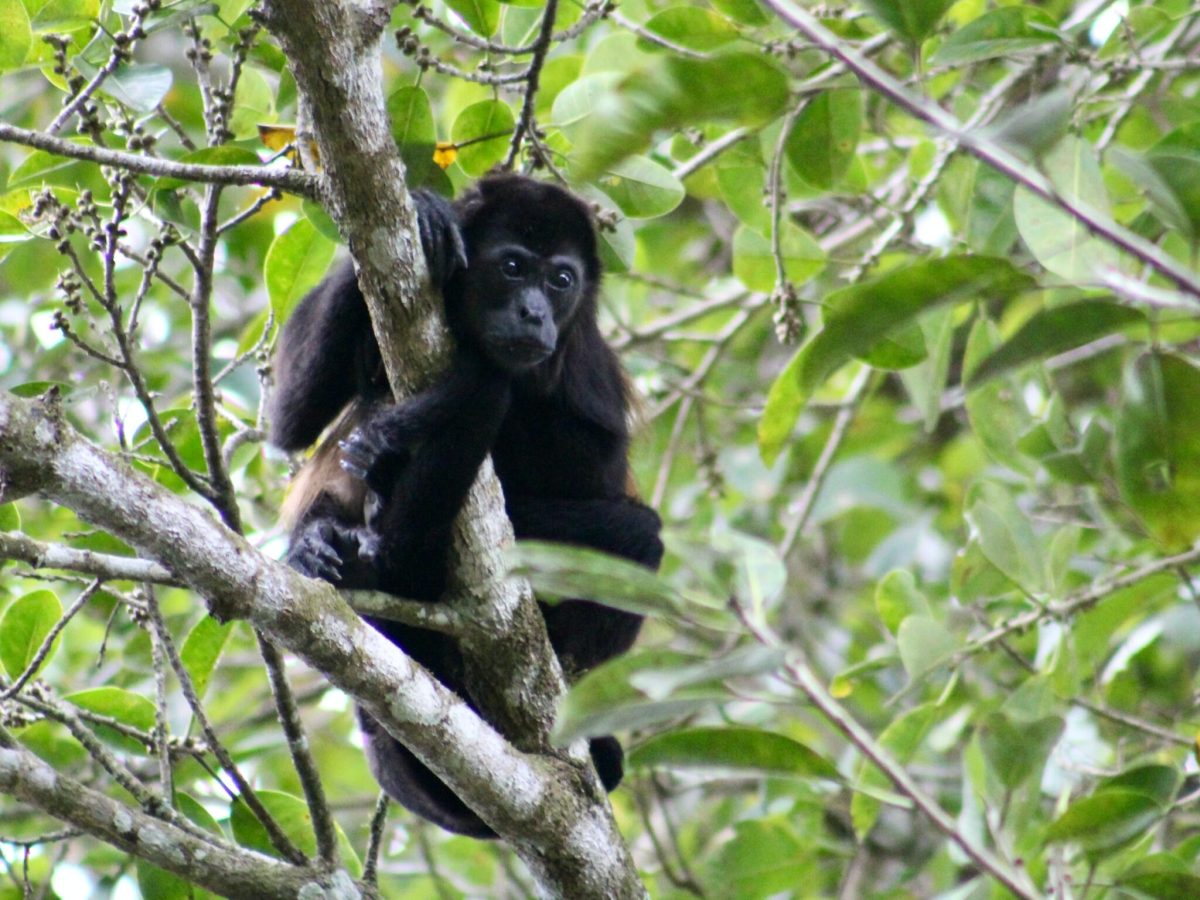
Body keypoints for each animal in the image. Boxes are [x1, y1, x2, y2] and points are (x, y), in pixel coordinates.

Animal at [270, 174, 663, 837]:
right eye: (512, 267)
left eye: (561, 280)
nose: (534, 313)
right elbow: (291, 416)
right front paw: (427, 208)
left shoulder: (588, 367)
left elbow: (595, 474)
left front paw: (400, 439)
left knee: (642, 535)